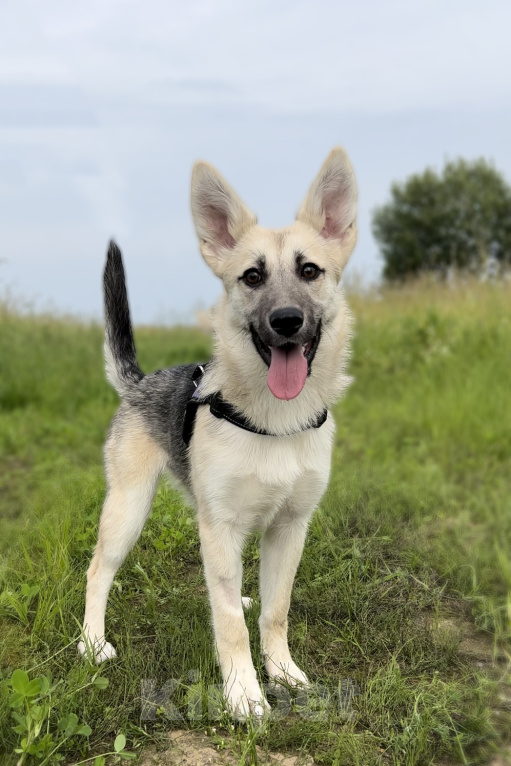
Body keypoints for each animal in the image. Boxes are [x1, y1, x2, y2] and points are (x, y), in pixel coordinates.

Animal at [81, 148, 360, 720]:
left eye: (310, 271)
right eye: (252, 276)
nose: (286, 321)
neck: (275, 421)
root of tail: (139, 381)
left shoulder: (290, 528)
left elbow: (276, 609)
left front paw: (282, 670)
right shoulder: (221, 527)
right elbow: (230, 625)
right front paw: (244, 693)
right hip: (128, 510)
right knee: (98, 573)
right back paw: (91, 643)